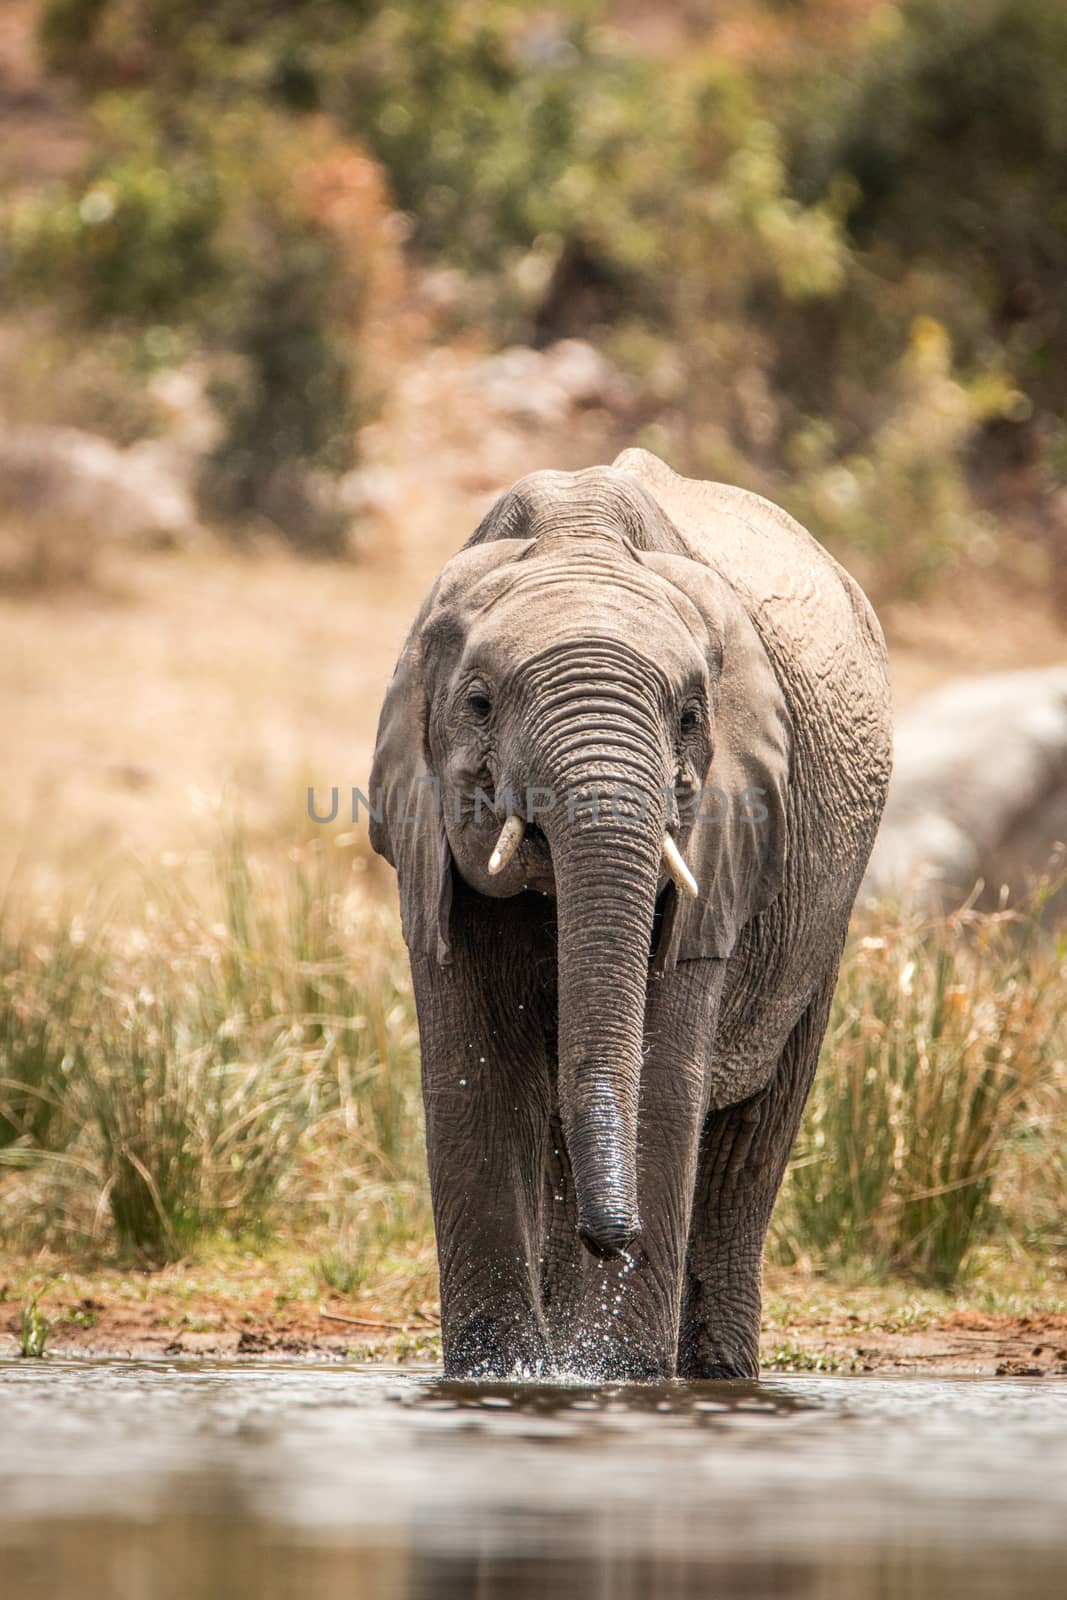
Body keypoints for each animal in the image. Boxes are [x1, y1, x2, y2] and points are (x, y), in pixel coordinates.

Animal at [369, 448, 895, 1376]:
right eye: (477, 703)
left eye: (689, 716)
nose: (611, 1238)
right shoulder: (424, 835)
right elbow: (474, 1079)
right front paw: (504, 1374)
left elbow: (662, 1076)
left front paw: (612, 1376)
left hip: (824, 911)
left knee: (751, 1140)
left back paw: (714, 1371)